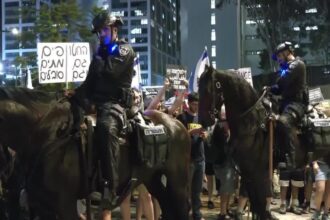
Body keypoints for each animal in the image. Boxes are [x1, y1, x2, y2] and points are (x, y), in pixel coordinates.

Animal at [0, 87, 191, 220]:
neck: (48, 135)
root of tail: (175, 123)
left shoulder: (65, 205)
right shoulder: (43, 207)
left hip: (178, 182)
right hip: (152, 179)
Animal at [199, 65, 310, 220]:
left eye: (208, 90)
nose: (202, 121)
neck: (252, 123)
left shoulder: (257, 173)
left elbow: (260, 205)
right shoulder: (248, 173)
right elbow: (255, 203)